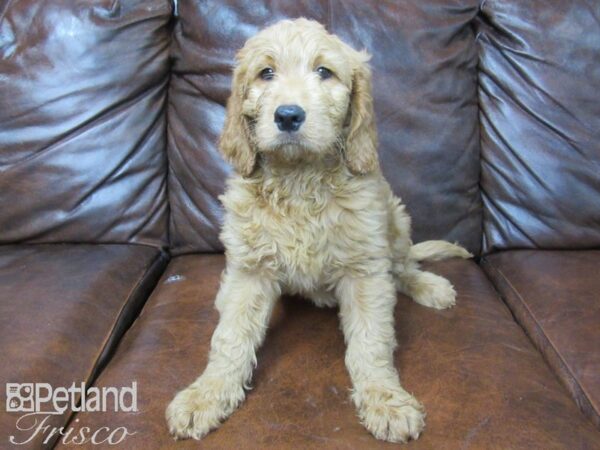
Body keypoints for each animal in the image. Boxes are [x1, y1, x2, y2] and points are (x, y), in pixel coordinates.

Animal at [166, 17, 472, 442]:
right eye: (266, 73)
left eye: (324, 72)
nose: (288, 115)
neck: (299, 179)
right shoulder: (250, 269)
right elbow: (230, 337)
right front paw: (207, 394)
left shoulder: (365, 270)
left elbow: (371, 341)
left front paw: (384, 398)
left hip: (394, 219)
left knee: (402, 266)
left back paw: (428, 285)